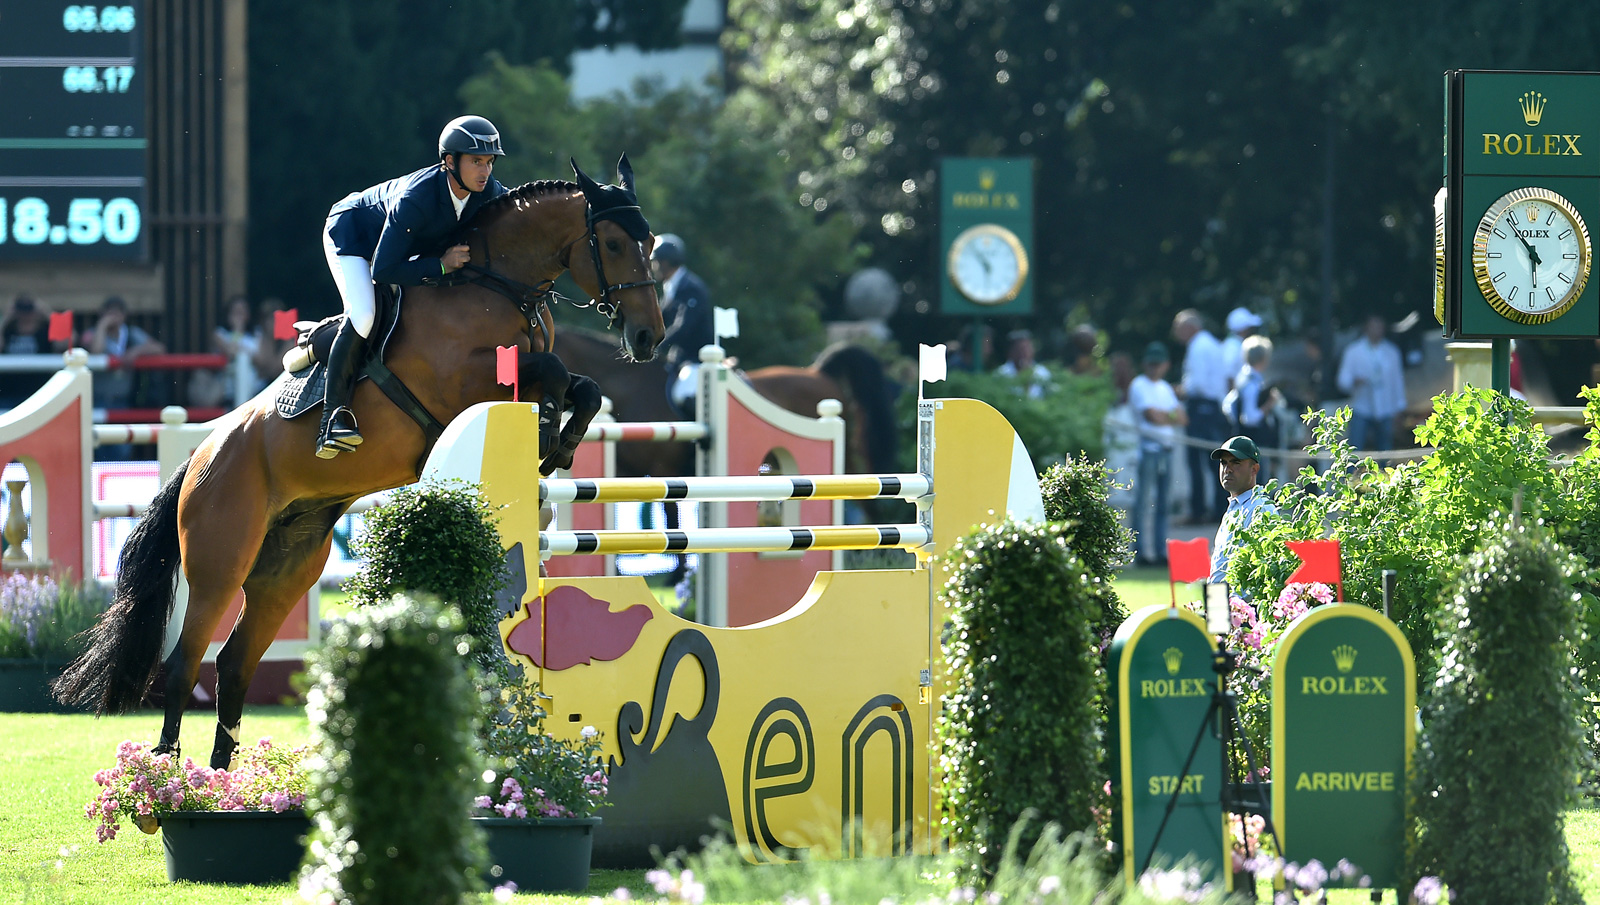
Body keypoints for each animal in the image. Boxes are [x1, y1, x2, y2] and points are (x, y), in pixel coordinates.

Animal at [50, 159, 662, 770]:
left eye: (650, 242)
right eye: (612, 242)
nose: (649, 337)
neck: (496, 285)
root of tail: (199, 457)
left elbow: (583, 386)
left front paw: (560, 444)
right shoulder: (462, 385)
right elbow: (554, 371)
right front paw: (548, 435)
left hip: (288, 569)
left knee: (235, 663)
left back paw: (227, 778)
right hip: (220, 563)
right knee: (183, 664)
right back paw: (170, 777)